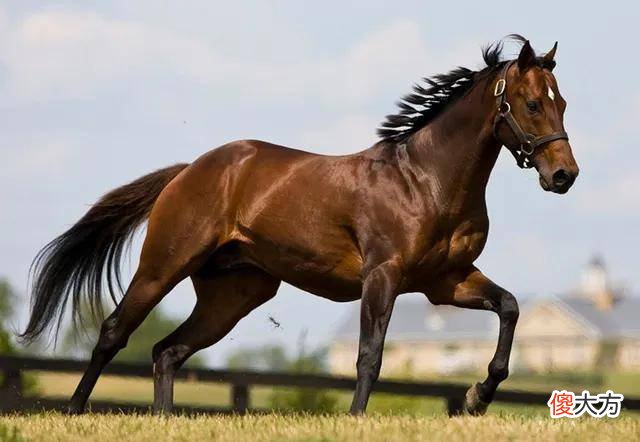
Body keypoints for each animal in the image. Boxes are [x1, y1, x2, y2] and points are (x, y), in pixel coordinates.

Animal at [21, 35, 578, 416]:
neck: (425, 180)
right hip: (164, 265)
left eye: (563, 102)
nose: (564, 175)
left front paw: (477, 396)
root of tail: (189, 171)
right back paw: (74, 411)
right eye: (533, 103)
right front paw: (357, 419)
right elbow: (370, 354)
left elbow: (509, 307)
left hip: (236, 294)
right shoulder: (384, 276)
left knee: (167, 351)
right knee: (115, 332)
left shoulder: (446, 281)